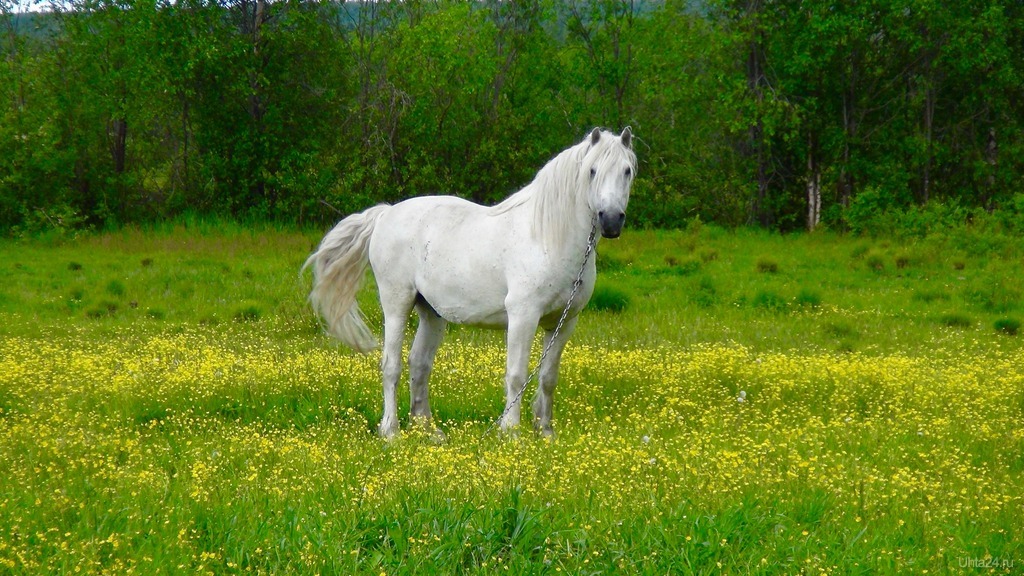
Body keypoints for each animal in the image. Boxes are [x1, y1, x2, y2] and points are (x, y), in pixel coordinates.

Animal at [303, 127, 634, 436]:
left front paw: (545, 432)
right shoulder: (523, 316)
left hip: (431, 313)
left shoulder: (564, 323)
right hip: (397, 304)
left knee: (419, 364)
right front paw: (511, 433)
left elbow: (548, 377)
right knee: (391, 366)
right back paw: (391, 431)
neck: (547, 236)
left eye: (627, 170)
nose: (611, 220)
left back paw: (428, 431)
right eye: (592, 171)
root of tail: (386, 214)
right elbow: (516, 374)